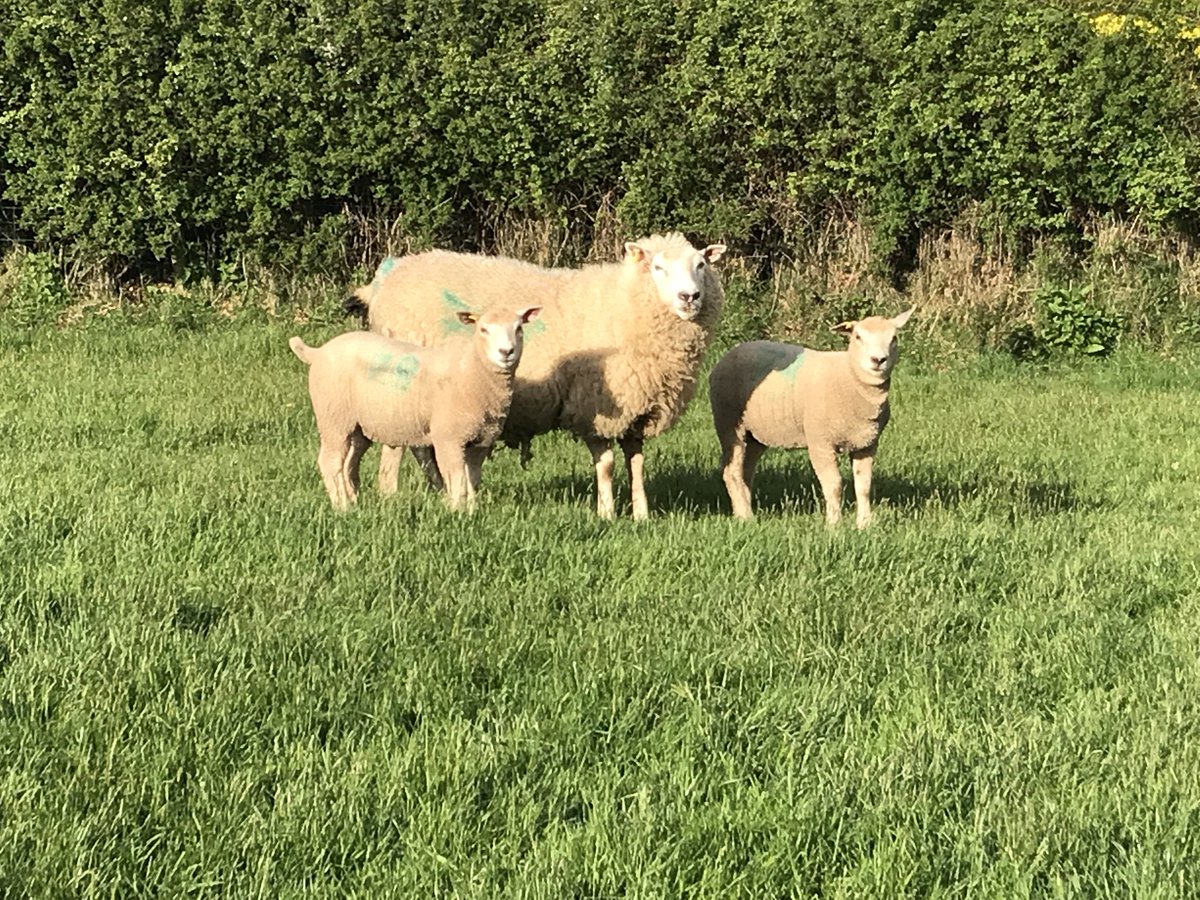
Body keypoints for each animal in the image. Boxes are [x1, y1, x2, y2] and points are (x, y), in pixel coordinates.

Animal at [289, 304, 540, 511]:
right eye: (483, 330)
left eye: (519, 328)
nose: (506, 352)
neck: (471, 370)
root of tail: (318, 352)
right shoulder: (448, 436)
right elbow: (456, 477)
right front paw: (457, 513)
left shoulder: (481, 439)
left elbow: (473, 478)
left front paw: (471, 510)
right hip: (333, 416)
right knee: (330, 462)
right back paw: (342, 507)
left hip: (359, 425)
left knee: (349, 461)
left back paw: (353, 501)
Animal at [351, 233, 727, 520]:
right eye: (658, 268)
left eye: (701, 265)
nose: (689, 297)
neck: (625, 306)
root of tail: (389, 277)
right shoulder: (594, 407)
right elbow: (606, 465)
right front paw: (607, 513)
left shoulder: (638, 411)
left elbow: (636, 464)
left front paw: (641, 515)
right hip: (398, 389)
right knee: (401, 449)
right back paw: (395, 496)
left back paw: (440, 490)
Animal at [708, 307, 915, 527]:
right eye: (858, 336)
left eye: (894, 338)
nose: (878, 360)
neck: (849, 377)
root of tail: (730, 353)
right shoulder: (820, 443)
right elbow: (834, 485)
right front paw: (834, 525)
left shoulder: (866, 444)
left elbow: (864, 486)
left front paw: (864, 524)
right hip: (729, 422)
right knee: (732, 471)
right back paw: (745, 517)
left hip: (756, 434)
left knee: (746, 470)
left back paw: (744, 509)